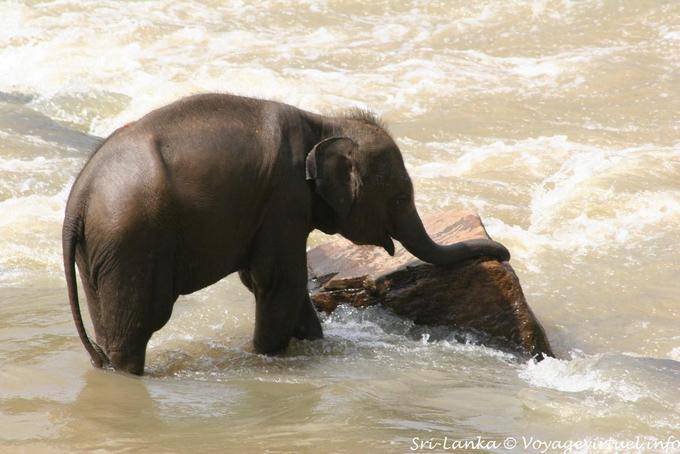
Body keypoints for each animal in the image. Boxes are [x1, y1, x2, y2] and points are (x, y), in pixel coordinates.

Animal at [63, 93, 510, 375]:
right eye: (400, 197)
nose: (503, 254)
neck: (323, 123)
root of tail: (77, 200)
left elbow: (273, 283)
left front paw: (311, 341)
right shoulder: (284, 197)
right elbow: (278, 279)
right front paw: (269, 357)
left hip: (100, 253)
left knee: (109, 323)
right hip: (133, 241)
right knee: (138, 324)